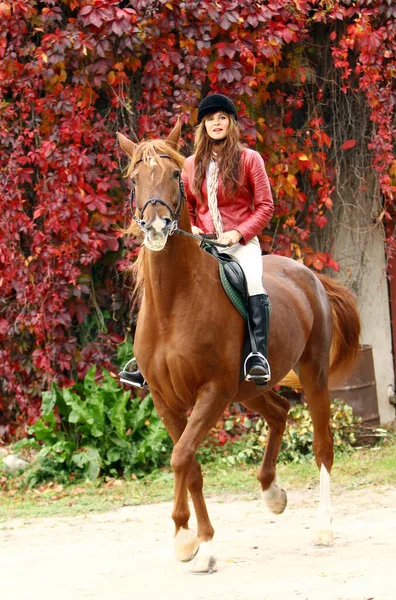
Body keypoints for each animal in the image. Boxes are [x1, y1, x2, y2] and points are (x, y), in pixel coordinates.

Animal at [117, 120, 358, 572]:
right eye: (134, 179)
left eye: (174, 175)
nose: (156, 227)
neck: (174, 302)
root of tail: (309, 275)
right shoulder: (165, 399)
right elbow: (189, 463)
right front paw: (191, 540)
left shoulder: (212, 392)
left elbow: (181, 457)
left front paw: (195, 542)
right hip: (248, 388)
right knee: (278, 412)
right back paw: (272, 493)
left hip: (311, 377)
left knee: (323, 445)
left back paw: (323, 527)